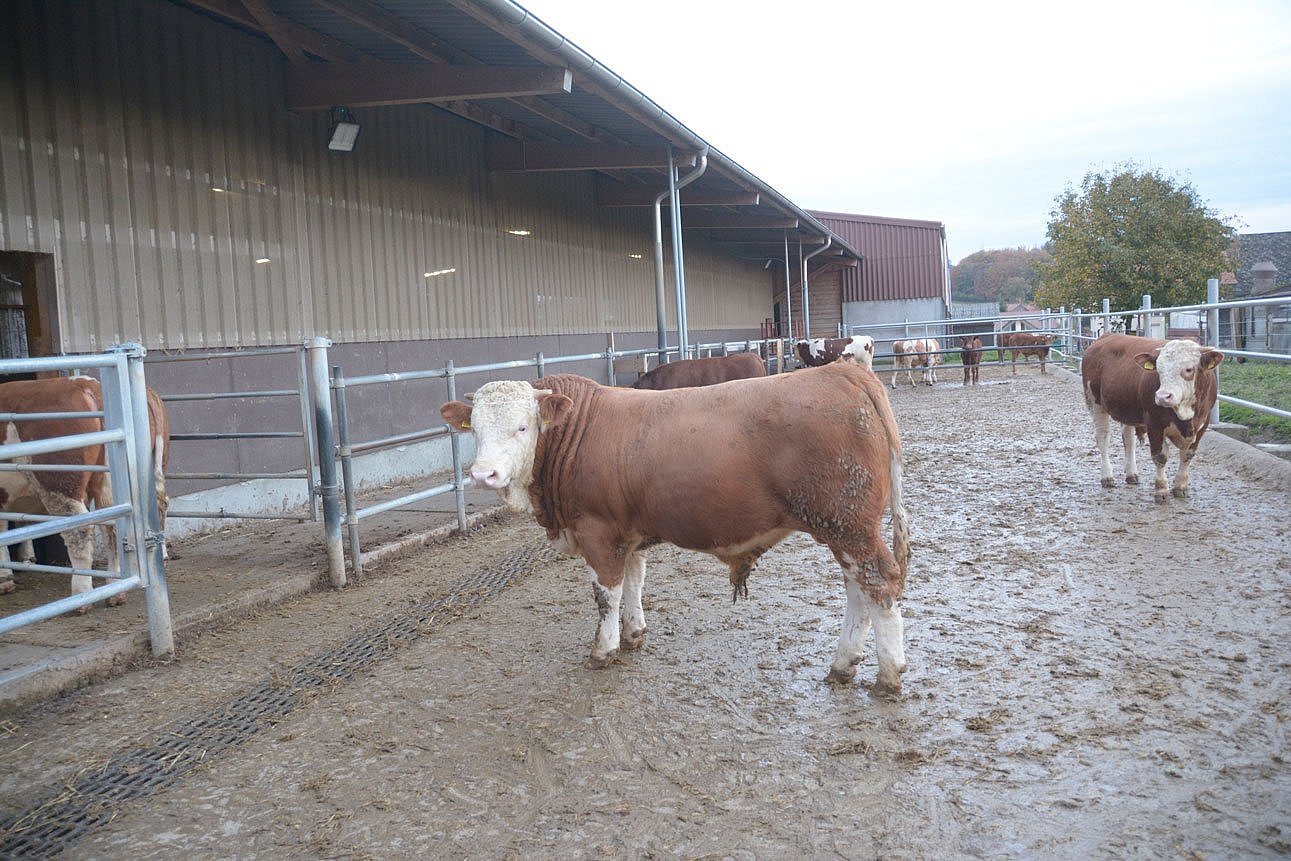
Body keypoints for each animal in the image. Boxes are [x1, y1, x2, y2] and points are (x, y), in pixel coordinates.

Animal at [0, 376, 171, 606]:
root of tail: (87, 384)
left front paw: (5, 578)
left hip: (59, 483)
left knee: (79, 529)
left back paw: (81, 594)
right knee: (124, 520)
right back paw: (116, 589)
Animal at [441, 361, 908, 691]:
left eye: (523, 426)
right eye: (474, 430)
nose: (483, 475)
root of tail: (844, 372)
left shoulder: (597, 530)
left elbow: (605, 594)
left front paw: (603, 649)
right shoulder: (626, 532)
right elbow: (634, 579)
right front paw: (634, 633)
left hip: (848, 524)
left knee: (879, 584)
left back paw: (888, 674)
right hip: (845, 528)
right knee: (857, 587)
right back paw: (844, 664)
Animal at [1079, 333, 1218, 500]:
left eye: (1189, 369)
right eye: (1159, 370)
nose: (1162, 396)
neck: (1185, 415)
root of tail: (1106, 336)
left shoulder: (1203, 424)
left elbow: (1187, 455)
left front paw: (1180, 486)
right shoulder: (1154, 424)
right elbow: (1160, 456)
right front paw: (1161, 490)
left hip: (1128, 409)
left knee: (1128, 440)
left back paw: (1131, 474)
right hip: (1094, 402)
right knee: (1103, 438)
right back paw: (1107, 476)